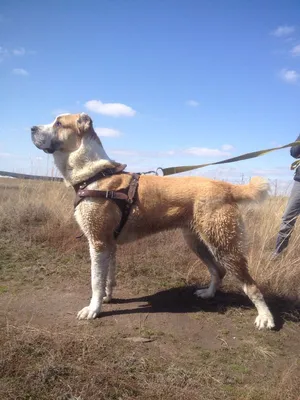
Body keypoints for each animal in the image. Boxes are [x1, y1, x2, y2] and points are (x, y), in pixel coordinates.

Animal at [31, 113, 276, 332]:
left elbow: (96, 281)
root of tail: (227, 186)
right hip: (197, 242)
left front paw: (93, 310)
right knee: (218, 271)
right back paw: (208, 293)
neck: (95, 175)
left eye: (58, 123)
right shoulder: (109, 244)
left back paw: (265, 318)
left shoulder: (98, 242)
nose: (32, 128)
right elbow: (108, 278)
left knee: (251, 286)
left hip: (223, 245)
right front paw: (108, 298)